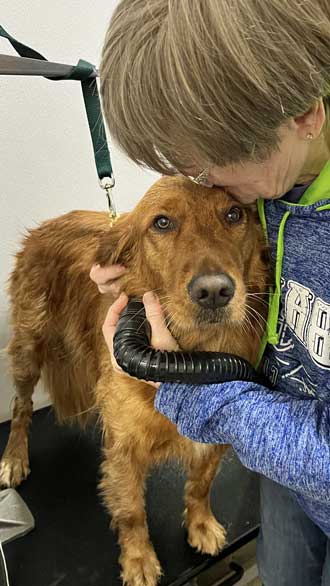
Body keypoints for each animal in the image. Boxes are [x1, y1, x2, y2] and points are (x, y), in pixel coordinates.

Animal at [0, 175, 270, 584]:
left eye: (234, 214)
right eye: (162, 222)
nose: (213, 292)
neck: (198, 350)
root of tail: (48, 223)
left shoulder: (219, 432)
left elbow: (201, 483)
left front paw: (201, 524)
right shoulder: (124, 449)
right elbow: (131, 512)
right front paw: (139, 559)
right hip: (28, 349)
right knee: (21, 404)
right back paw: (14, 456)